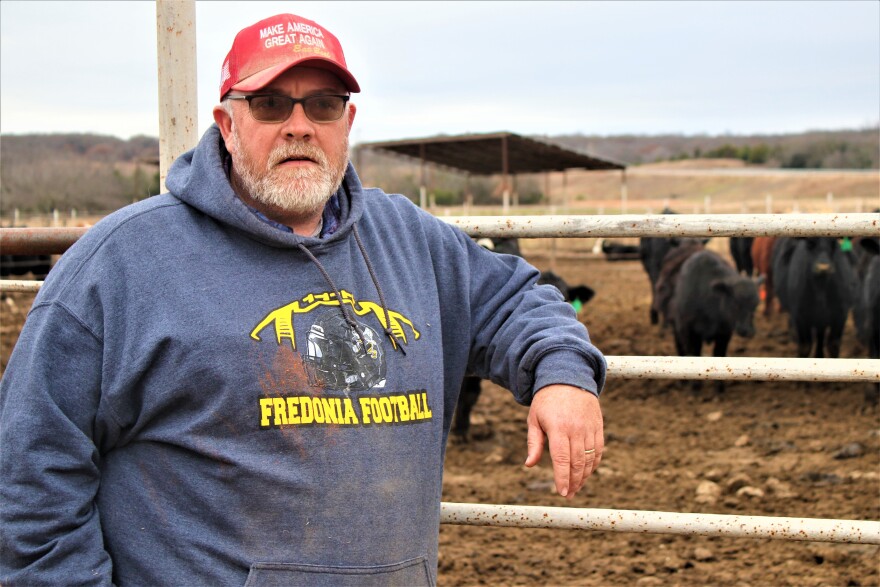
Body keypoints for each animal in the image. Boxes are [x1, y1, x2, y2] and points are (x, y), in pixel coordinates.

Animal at [672, 249, 760, 392]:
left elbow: (719, 354)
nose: (748, 331)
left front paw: (719, 387)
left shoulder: (724, 333)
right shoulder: (689, 331)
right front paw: (695, 386)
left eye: (755, 305)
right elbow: (693, 354)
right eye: (736, 303)